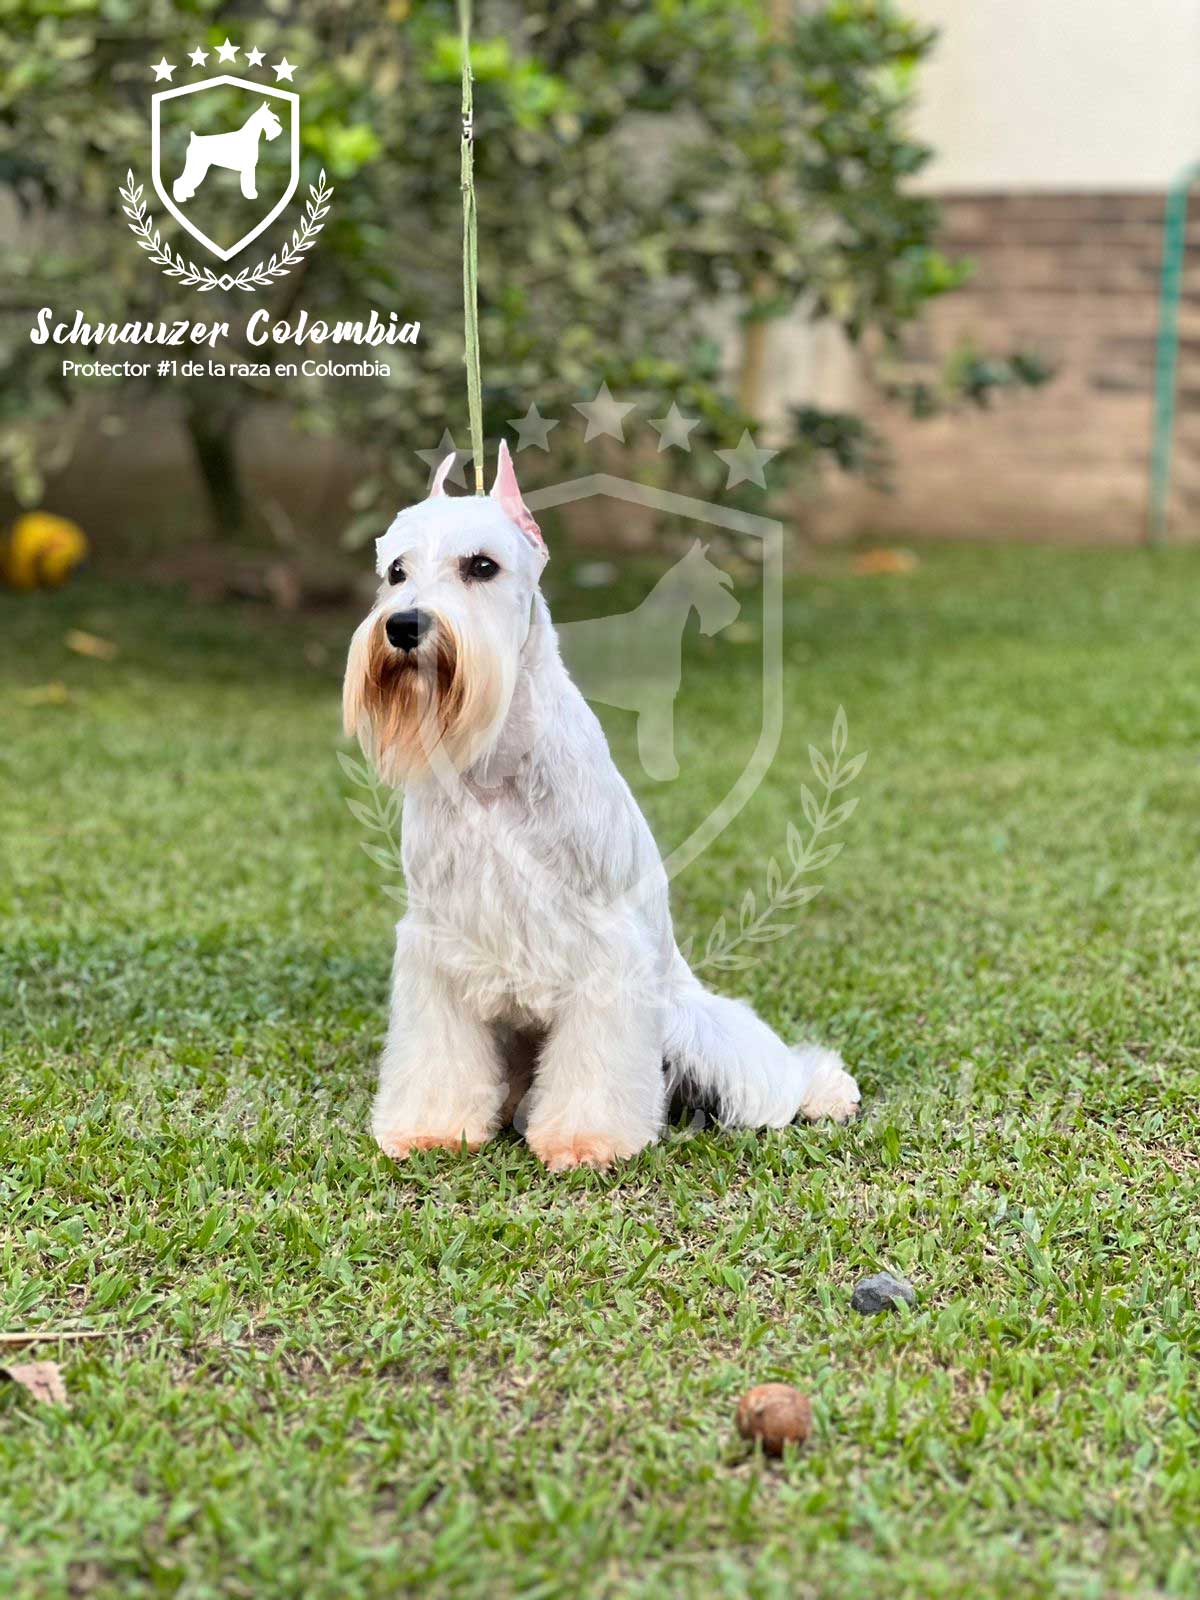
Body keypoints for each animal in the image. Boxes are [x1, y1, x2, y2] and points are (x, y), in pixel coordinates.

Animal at [342, 444, 857, 1171]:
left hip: (697, 1028)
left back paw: (825, 1090)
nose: (404, 625)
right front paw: (431, 1127)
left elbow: (596, 1063)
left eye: (481, 565)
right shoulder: (437, 942)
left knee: (770, 1075)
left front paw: (588, 1140)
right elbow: (439, 1053)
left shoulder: (605, 952)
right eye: (395, 571)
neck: (496, 765)